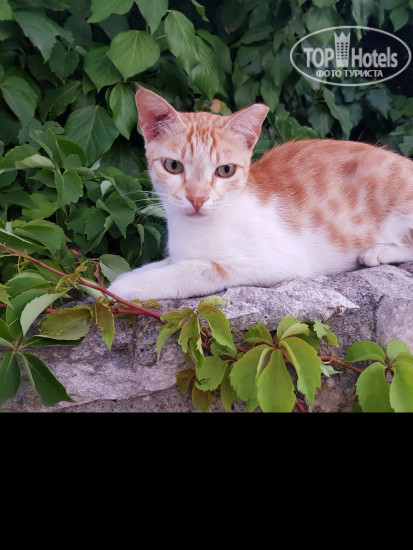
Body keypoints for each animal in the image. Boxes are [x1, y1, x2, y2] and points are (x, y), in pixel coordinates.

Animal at [107, 86, 413, 301]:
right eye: (173, 166)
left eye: (225, 170)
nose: (197, 198)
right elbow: (168, 262)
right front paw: (134, 273)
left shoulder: (280, 262)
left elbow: (202, 268)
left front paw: (129, 285)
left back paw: (379, 252)